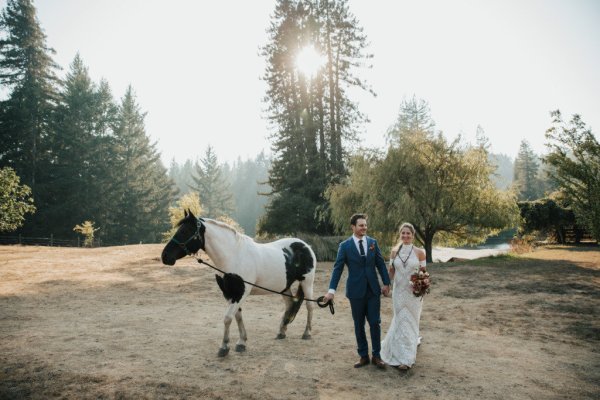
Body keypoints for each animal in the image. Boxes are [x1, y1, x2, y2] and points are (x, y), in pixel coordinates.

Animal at [159, 209, 318, 356]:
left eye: (185, 230)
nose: (165, 256)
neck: (233, 256)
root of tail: (305, 245)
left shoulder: (241, 292)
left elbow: (228, 318)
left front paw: (224, 347)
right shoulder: (229, 293)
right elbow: (237, 316)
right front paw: (241, 342)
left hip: (307, 282)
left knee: (310, 306)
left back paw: (307, 333)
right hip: (284, 287)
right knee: (290, 305)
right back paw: (281, 332)